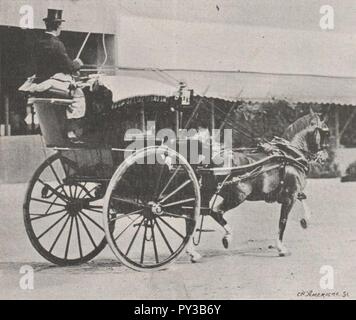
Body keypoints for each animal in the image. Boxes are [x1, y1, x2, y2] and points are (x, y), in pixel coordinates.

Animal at [188, 110, 330, 260]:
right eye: (326, 132)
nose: (325, 156)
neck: (290, 156)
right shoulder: (290, 196)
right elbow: (283, 221)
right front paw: (281, 248)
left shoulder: (294, 193)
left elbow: (303, 199)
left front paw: (305, 219)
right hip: (237, 196)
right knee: (215, 211)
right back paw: (227, 237)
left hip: (207, 193)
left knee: (197, 214)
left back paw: (193, 251)